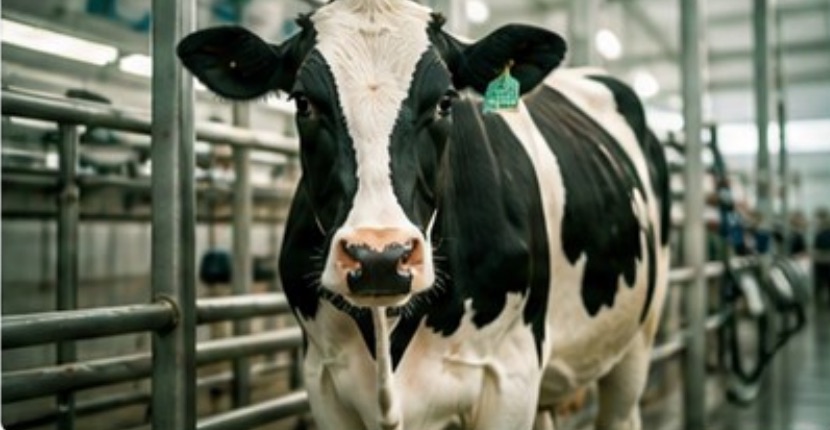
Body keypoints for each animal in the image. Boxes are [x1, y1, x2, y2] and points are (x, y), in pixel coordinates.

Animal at [178, 1, 671, 429]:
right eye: (302, 101)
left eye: (445, 101)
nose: (378, 257)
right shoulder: (324, 378)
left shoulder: (511, 375)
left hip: (637, 339)